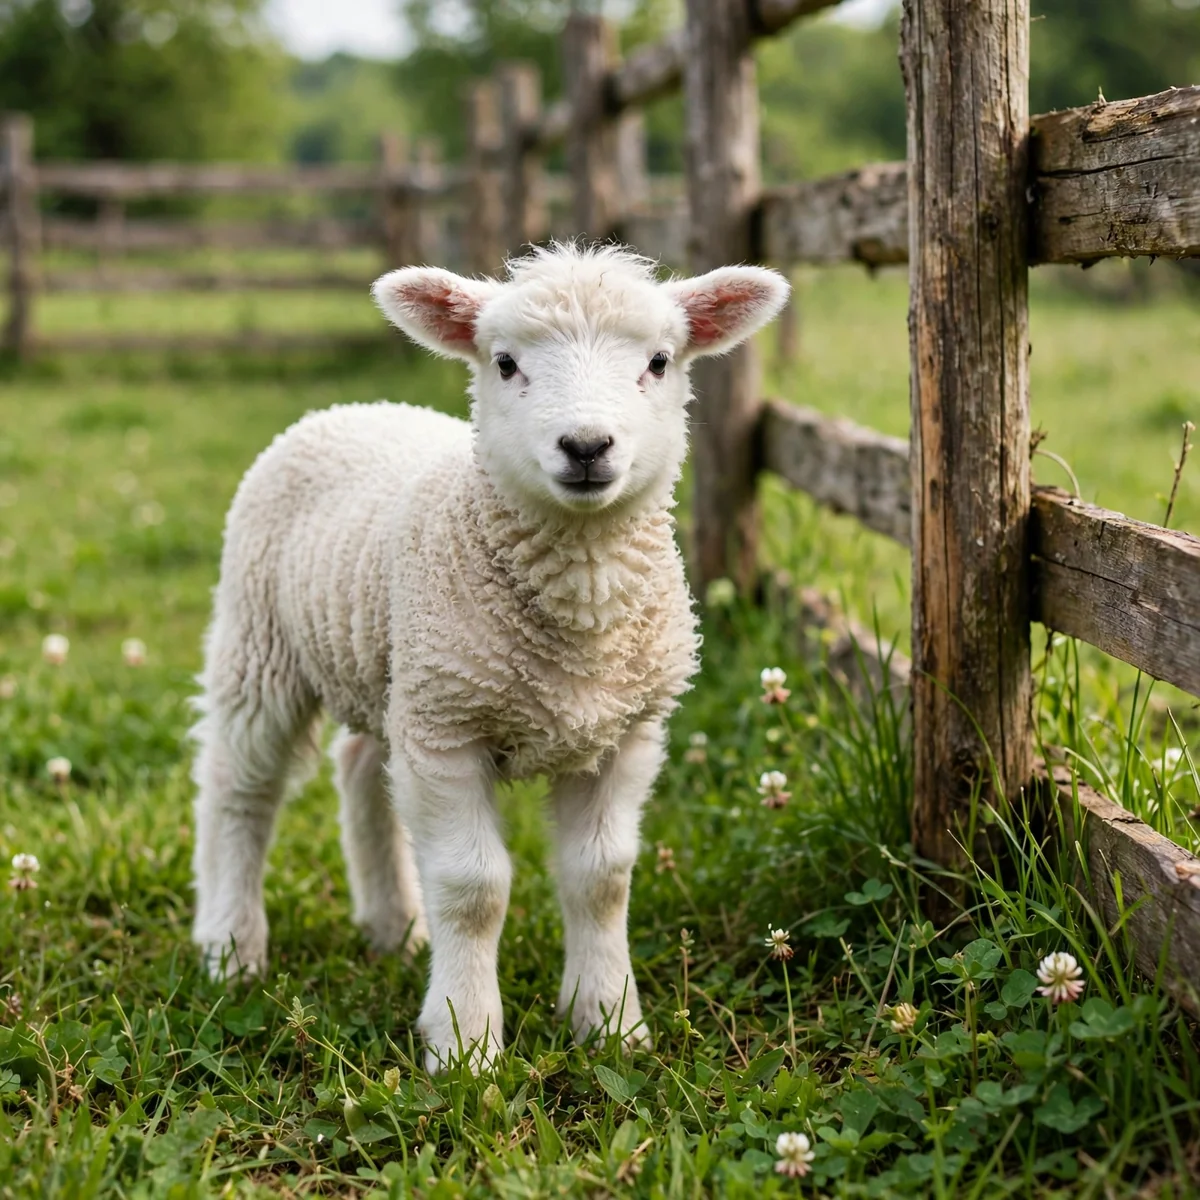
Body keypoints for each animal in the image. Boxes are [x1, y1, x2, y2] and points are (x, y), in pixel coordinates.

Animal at [190, 242, 789, 1071]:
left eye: (660, 361)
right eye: (505, 363)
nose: (586, 447)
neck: (580, 609)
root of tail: (355, 407)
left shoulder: (624, 731)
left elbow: (602, 878)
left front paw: (610, 1024)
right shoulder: (451, 730)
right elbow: (474, 891)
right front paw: (466, 1046)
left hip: (395, 673)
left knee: (360, 769)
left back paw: (394, 927)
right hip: (262, 643)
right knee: (239, 790)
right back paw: (231, 947)